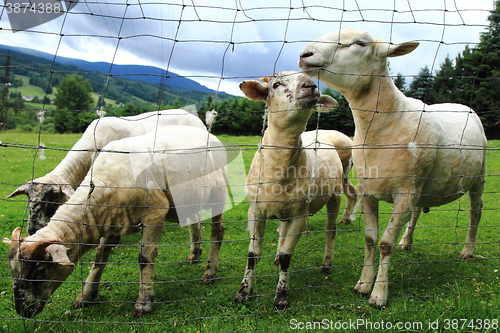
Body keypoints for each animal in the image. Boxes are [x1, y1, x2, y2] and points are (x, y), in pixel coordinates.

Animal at [3, 124, 227, 316]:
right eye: (12, 271)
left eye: (40, 270)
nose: (23, 311)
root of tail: (207, 133)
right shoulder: (110, 221)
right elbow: (100, 257)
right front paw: (86, 296)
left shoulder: (155, 211)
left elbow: (145, 257)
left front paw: (143, 303)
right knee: (195, 222)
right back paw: (194, 255)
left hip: (217, 193)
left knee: (218, 231)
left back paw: (210, 272)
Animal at [233, 70, 344, 308]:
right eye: (276, 84)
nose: (310, 85)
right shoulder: (255, 212)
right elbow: (253, 255)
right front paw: (243, 292)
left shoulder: (300, 215)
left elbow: (287, 256)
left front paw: (281, 297)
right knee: (282, 230)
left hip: (335, 195)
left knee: (330, 231)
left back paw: (327, 264)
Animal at [298, 28, 486, 306]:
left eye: (359, 43)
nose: (305, 54)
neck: (385, 122)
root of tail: (461, 105)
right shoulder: (369, 192)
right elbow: (370, 239)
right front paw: (363, 284)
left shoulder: (403, 195)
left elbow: (385, 243)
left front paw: (378, 295)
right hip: (422, 186)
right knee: (418, 212)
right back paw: (406, 242)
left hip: (478, 177)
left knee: (476, 211)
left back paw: (468, 250)